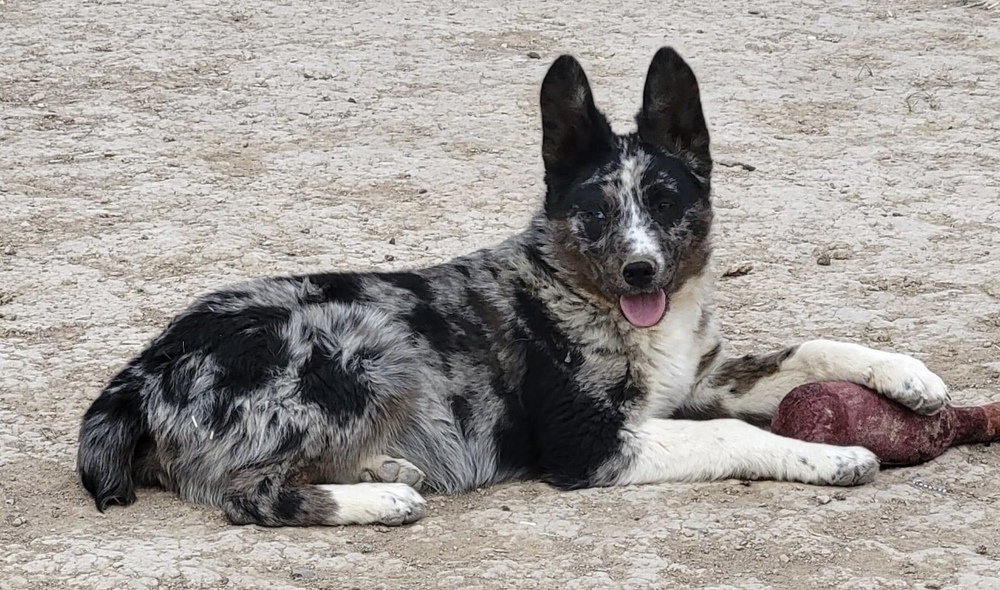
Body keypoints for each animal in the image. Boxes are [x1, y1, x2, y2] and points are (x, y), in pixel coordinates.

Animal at [76, 46, 944, 528]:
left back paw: (383, 471)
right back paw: (380, 500)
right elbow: (736, 436)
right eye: (595, 211)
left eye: (666, 201)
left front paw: (913, 379)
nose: (640, 271)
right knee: (248, 495)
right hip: (358, 347)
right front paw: (834, 457)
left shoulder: (702, 379)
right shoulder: (592, 443)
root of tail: (141, 369)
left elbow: (813, 349)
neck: (588, 295)